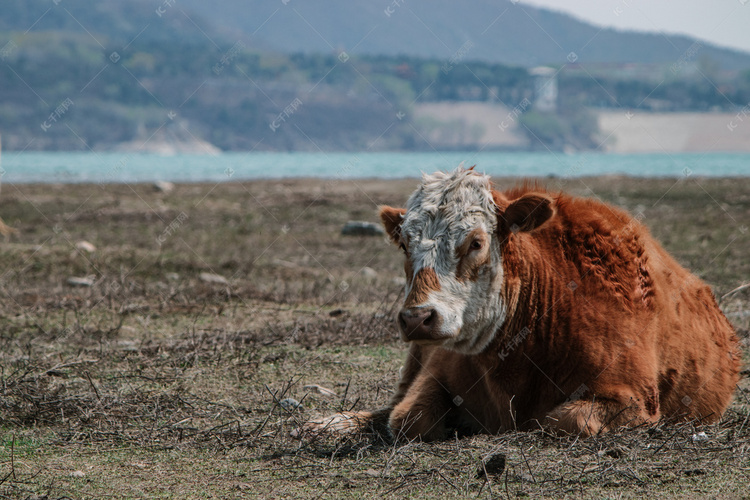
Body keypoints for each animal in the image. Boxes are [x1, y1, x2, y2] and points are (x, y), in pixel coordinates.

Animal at [296, 169, 744, 442]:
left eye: (476, 242)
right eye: (405, 244)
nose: (417, 317)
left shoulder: (635, 397)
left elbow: (563, 418)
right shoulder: (433, 373)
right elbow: (407, 418)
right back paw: (331, 422)